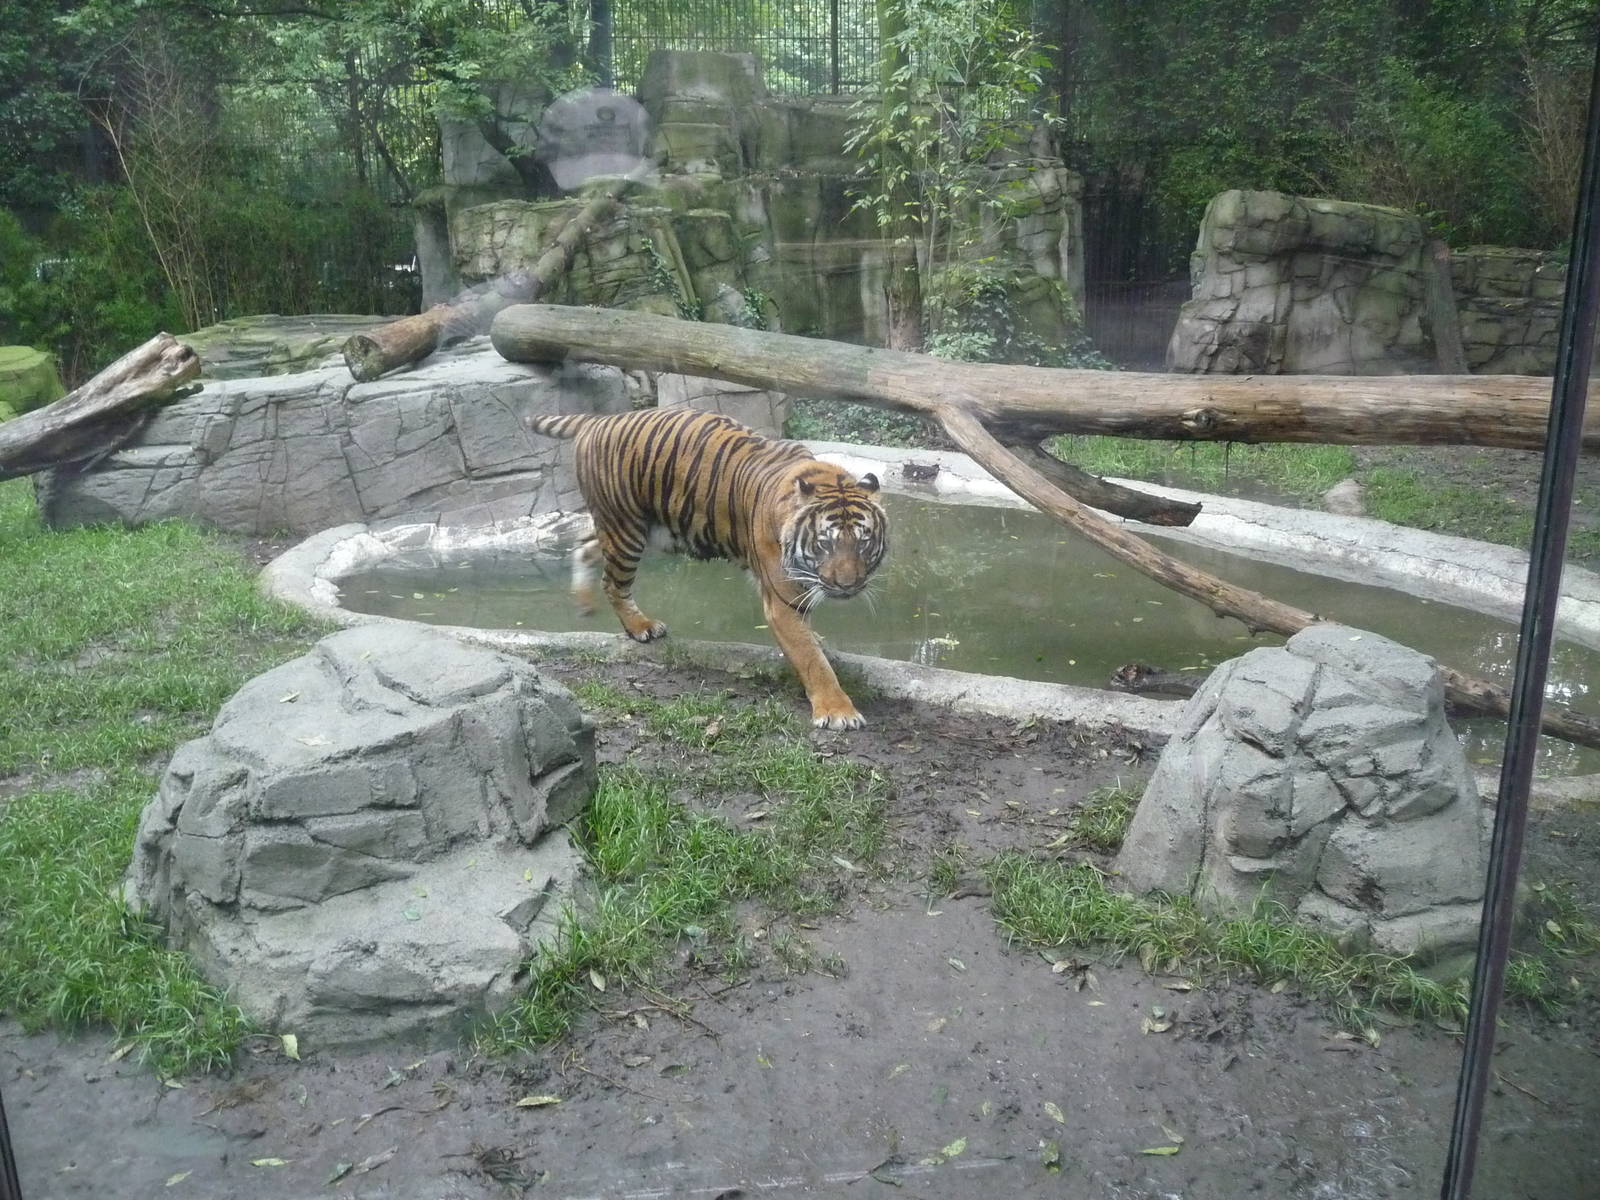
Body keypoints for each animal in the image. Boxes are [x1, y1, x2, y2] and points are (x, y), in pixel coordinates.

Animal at [527, 407, 888, 730]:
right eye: (825, 543)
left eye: (864, 542)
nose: (847, 586)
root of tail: (600, 419)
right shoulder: (781, 599)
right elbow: (811, 659)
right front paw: (838, 711)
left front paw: (817, 640)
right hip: (626, 528)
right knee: (613, 582)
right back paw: (640, 626)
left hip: (644, 530)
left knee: (585, 545)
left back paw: (584, 603)